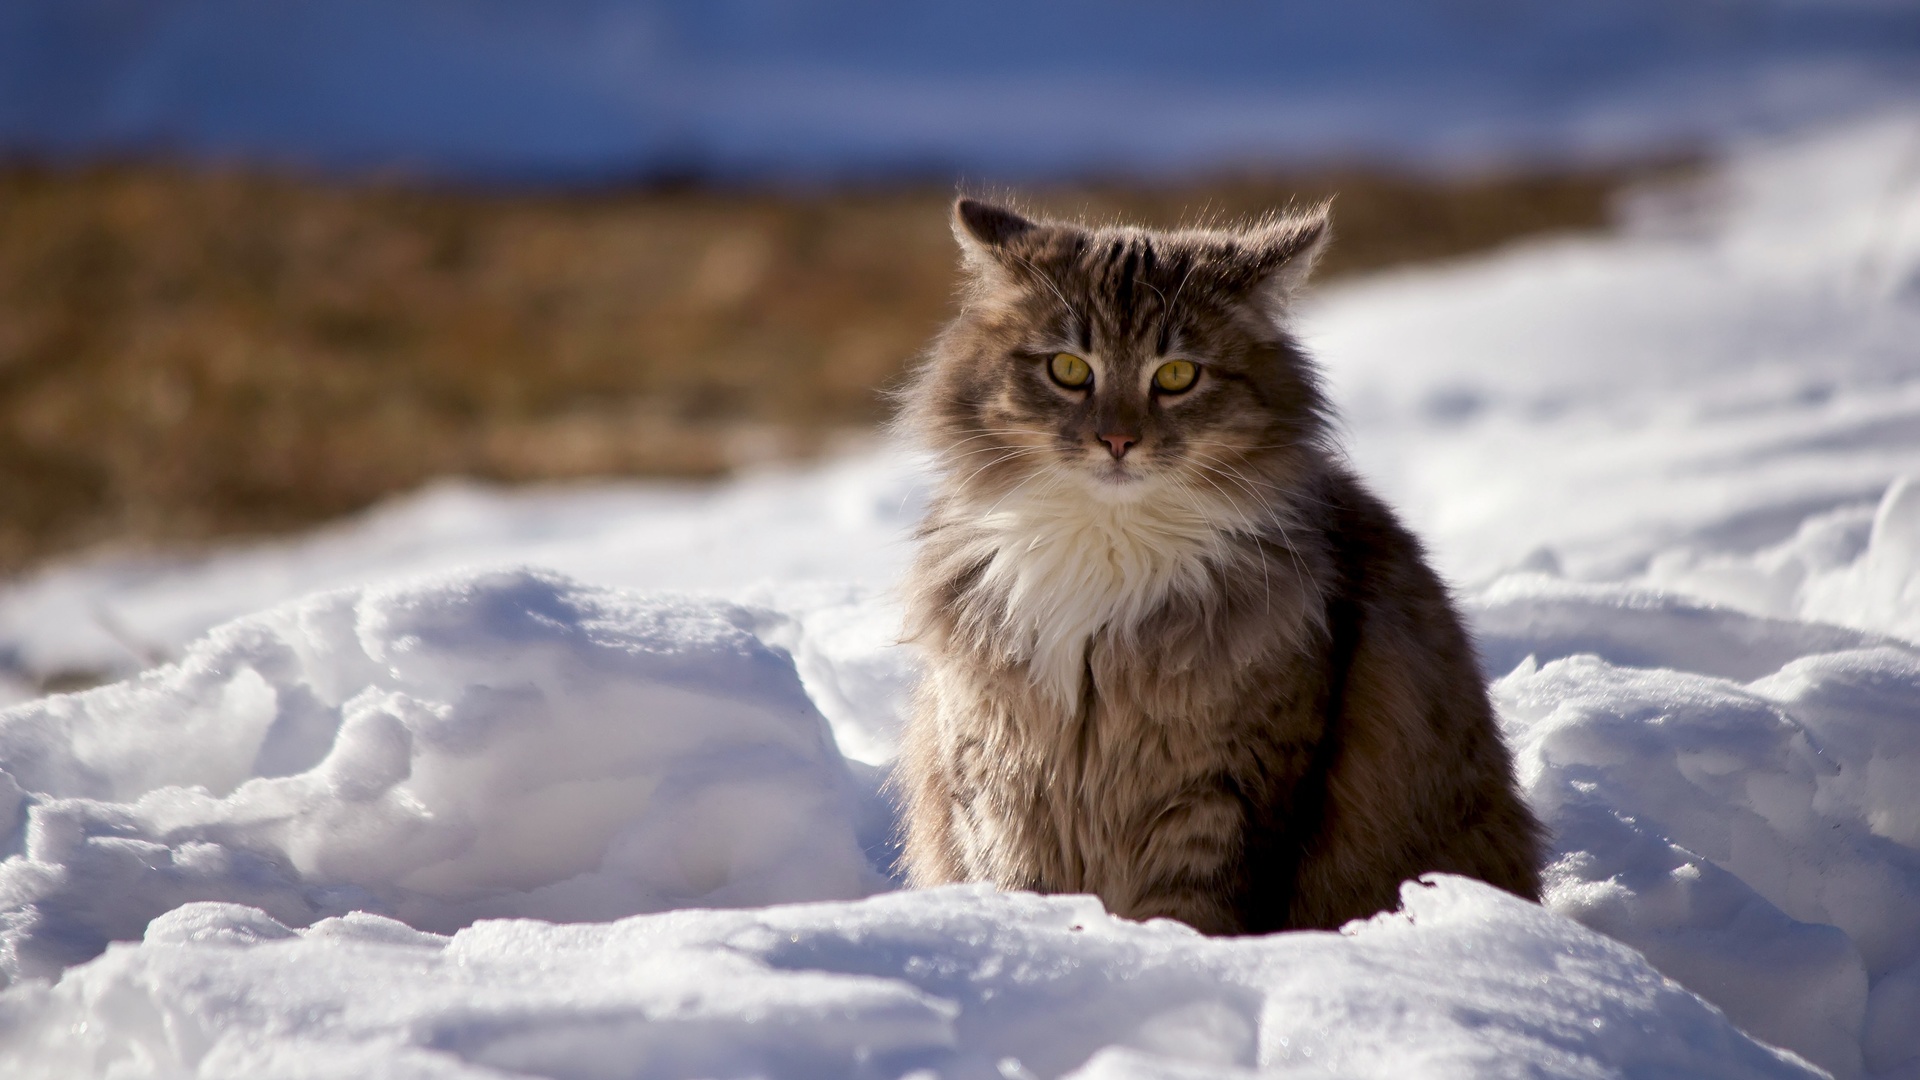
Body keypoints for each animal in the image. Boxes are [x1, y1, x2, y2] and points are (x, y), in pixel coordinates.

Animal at [894, 197, 1543, 930]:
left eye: (1177, 376)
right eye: (1069, 370)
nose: (1117, 440)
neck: (1108, 547)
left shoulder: (1227, 791)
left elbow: (1189, 913)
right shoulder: (998, 777)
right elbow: (1018, 884)